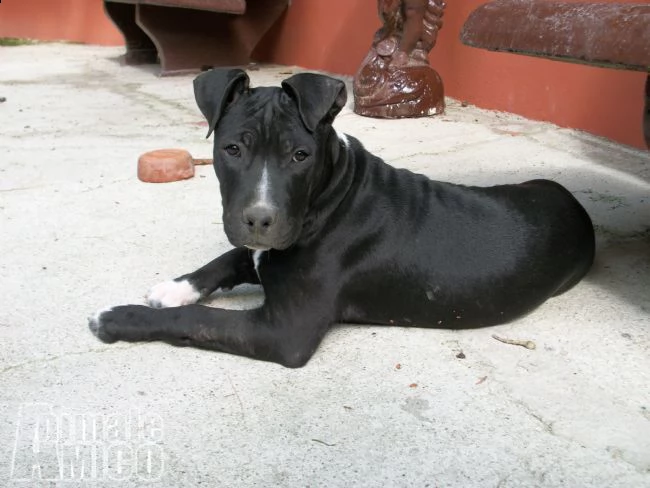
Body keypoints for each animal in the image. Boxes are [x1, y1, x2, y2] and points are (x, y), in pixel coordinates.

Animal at [88, 67, 596, 366]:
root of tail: (571, 200)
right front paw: (174, 288)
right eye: (231, 149)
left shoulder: (283, 332)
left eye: (300, 155)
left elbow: (197, 321)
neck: (330, 194)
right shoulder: (260, 248)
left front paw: (117, 318)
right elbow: (227, 259)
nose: (260, 219)